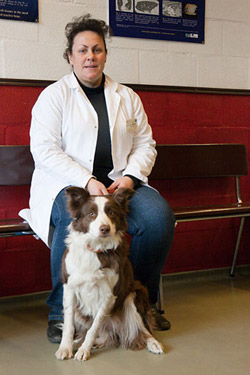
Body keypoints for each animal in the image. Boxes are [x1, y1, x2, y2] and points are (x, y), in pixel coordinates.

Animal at [55, 187, 164, 362]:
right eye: (91, 213)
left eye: (111, 212)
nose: (105, 229)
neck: (96, 249)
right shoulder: (70, 288)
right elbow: (69, 325)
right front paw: (65, 348)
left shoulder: (109, 294)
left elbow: (94, 327)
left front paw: (84, 350)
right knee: (105, 335)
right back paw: (87, 342)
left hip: (134, 295)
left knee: (142, 329)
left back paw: (153, 343)